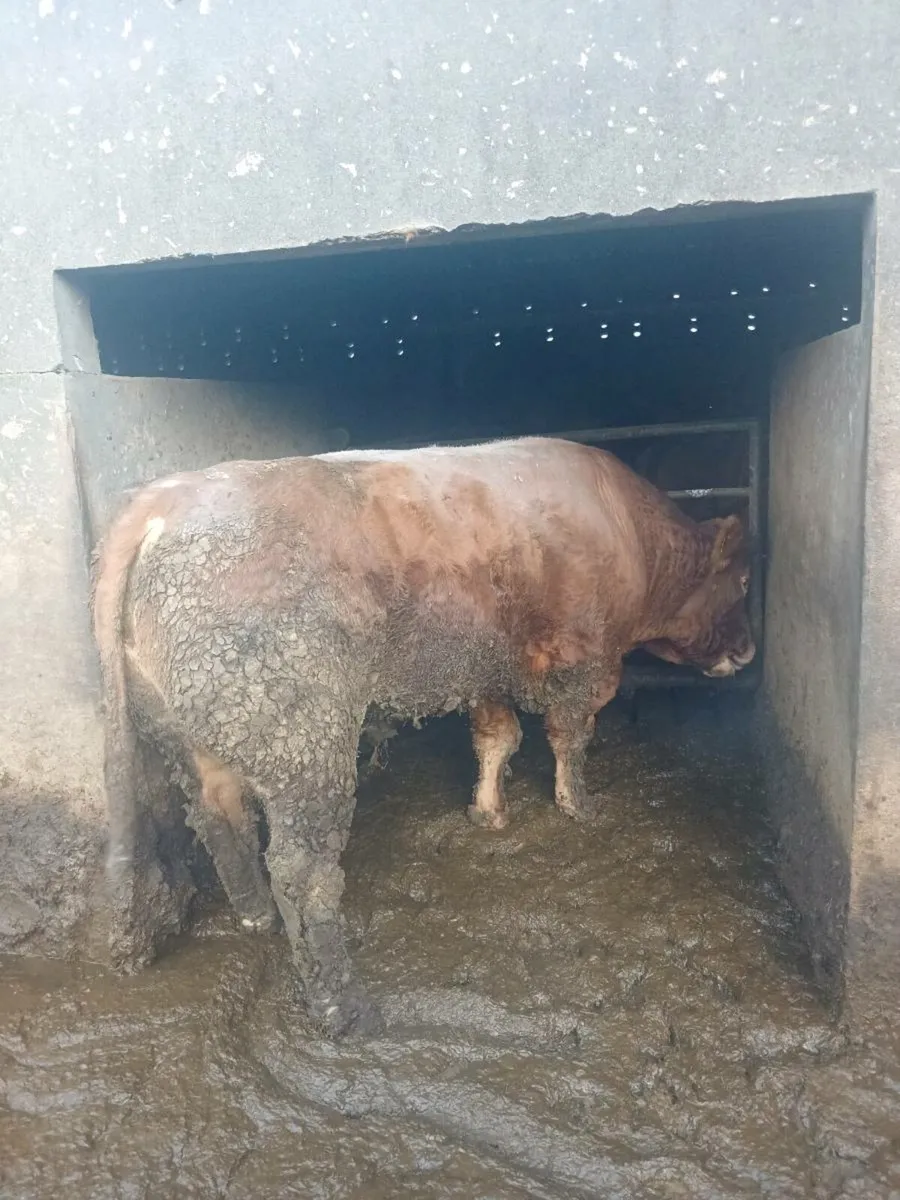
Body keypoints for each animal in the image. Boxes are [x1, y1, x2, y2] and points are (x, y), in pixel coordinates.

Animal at [92, 437, 754, 1037]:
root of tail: (161, 500)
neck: (633, 539)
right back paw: (347, 1011)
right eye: (746, 581)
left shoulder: (486, 667)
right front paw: (579, 806)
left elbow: (497, 737)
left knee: (216, 815)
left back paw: (257, 917)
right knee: (303, 871)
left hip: (185, 730)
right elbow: (570, 736)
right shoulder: (586, 660)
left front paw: (488, 812)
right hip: (302, 735)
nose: (749, 650)